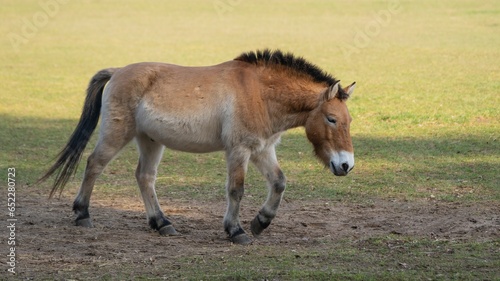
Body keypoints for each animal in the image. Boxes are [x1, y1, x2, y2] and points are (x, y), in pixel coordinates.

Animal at [39, 49, 356, 244]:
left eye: (349, 120)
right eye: (331, 119)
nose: (346, 165)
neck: (258, 92)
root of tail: (117, 71)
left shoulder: (262, 149)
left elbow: (279, 182)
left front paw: (261, 222)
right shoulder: (239, 150)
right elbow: (236, 190)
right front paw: (236, 230)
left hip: (150, 141)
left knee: (144, 177)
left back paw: (162, 223)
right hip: (117, 134)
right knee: (94, 164)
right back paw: (82, 214)